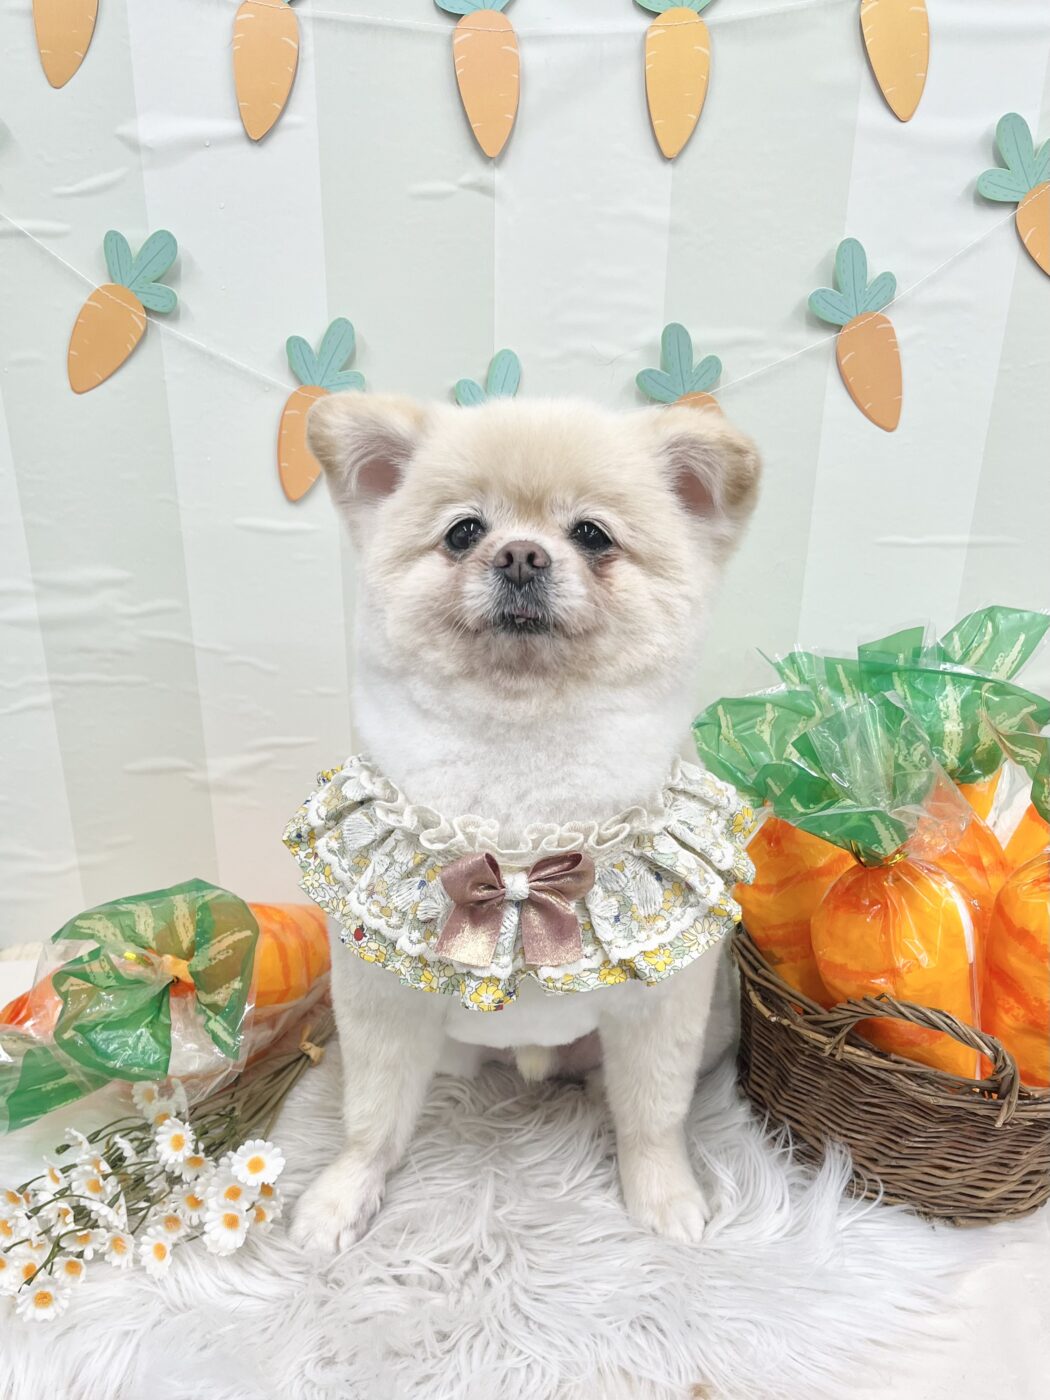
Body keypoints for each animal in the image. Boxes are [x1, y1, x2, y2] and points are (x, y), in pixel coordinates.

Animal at [288, 393, 760, 1252]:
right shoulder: (380, 1002)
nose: (519, 555)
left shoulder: (662, 1012)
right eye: (463, 531)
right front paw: (344, 1194)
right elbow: (372, 1116)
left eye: (593, 535)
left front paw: (663, 1193)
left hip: (712, 1027)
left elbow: (653, 1116)